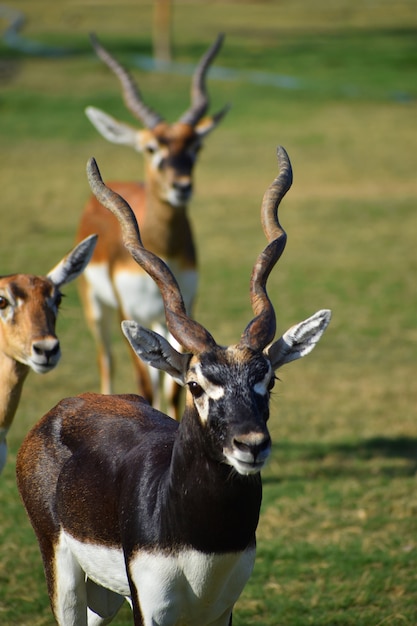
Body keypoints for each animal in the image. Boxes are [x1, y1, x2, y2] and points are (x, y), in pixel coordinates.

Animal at [17, 147, 332, 624]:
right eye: (195, 385)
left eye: (269, 378)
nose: (252, 444)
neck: (203, 541)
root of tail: (65, 407)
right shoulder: (151, 606)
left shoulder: (220, 609)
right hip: (66, 579)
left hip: (104, 595)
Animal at [76, 33, 229, 414]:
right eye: (150, 148)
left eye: (196, 147)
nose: (181, 186)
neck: (164, 248)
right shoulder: (129, 311)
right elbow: (144, 384)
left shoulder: (178, 313)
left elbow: (175, 387)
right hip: (96, 308)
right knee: (106, 361)